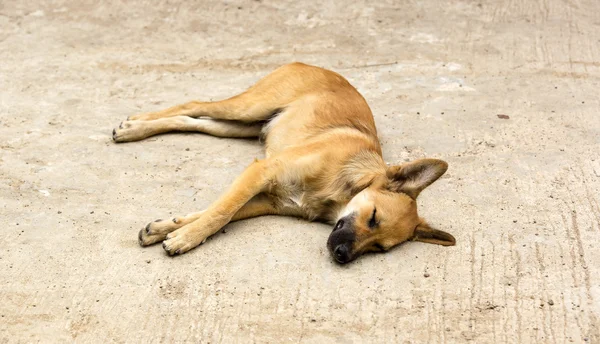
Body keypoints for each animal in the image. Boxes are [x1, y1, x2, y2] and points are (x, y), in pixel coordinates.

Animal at [113, 62, 454, 264]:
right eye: (372, 218)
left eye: (379, 247)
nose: (342, 255)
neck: (341, 187)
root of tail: (317, 64)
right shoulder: (261, 171)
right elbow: (221, 212)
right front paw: (185, 238)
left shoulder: (269, 200)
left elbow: (220, 210)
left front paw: (166, 228)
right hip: (248, 108)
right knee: (194, 104)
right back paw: (134, 125)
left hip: (240, 126)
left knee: (194, 121)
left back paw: (136, 129)